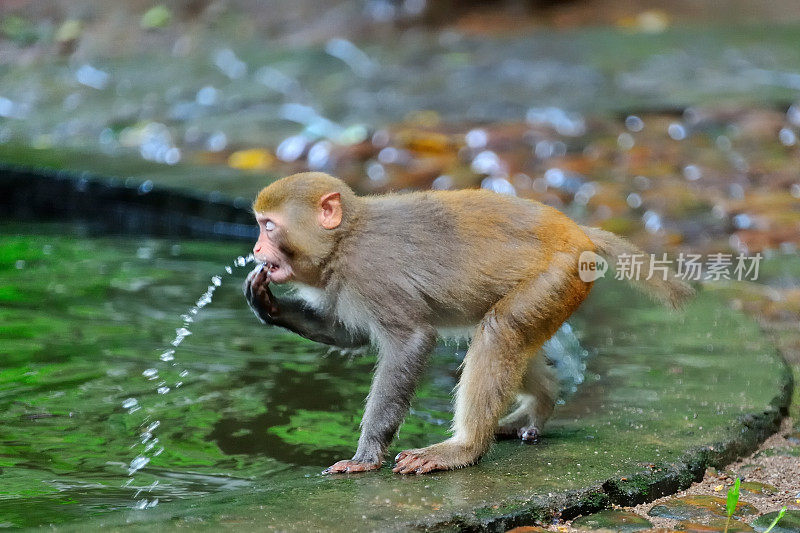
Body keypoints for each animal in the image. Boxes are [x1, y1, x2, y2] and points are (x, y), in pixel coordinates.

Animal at [241, 170, 692, 474]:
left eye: (269, 226)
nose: (256, 249)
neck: (343, 241)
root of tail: (578, 231)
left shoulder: (371, 274)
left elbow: (410, 341)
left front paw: (366, 455)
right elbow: (348, 334)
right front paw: (267, 304)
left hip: (560, 274)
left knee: (501, 330)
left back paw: (465, 448)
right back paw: (539, 405)